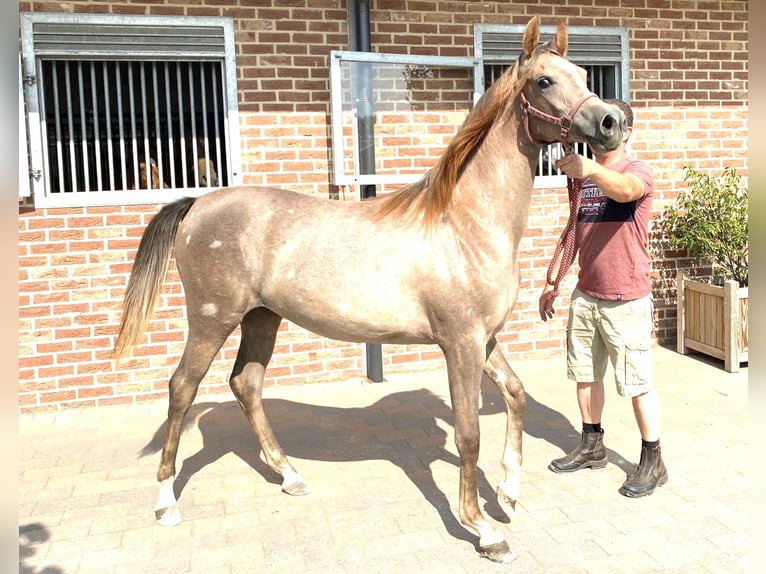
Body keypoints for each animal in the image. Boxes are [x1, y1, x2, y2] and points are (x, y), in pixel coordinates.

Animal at [115, 15, 632, 564]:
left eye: (582, 73)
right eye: (544, 81)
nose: (612, 123)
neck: (465, 223)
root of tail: (197, 204)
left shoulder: (484, 339)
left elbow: (516, 396)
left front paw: (509, 492)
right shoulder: (460, 344)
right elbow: (468, 434)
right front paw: (484, 529)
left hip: (262, 318)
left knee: (245, 384)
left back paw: (291, 476)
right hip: (212, 318)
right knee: (182, 389)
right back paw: (166, 503)